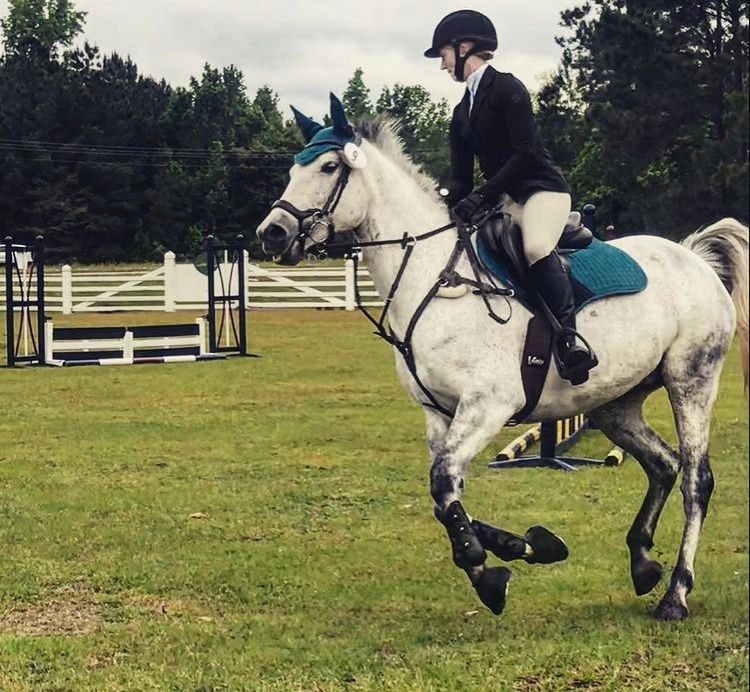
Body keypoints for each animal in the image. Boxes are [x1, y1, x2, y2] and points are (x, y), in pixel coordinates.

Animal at [256, 94, 748, 620]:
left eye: (329, 167)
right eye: (293, 167)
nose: (272, 233)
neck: (434, 278)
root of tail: (692, 255)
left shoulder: (488, 405)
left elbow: (443, 483)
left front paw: (489, 565)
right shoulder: (439, 414)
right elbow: (446, 495)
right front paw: (520, 552)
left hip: (691, 381)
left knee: (695, 479)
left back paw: (676, 592)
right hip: (616, 403)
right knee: (662, 465)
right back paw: (642, 563)